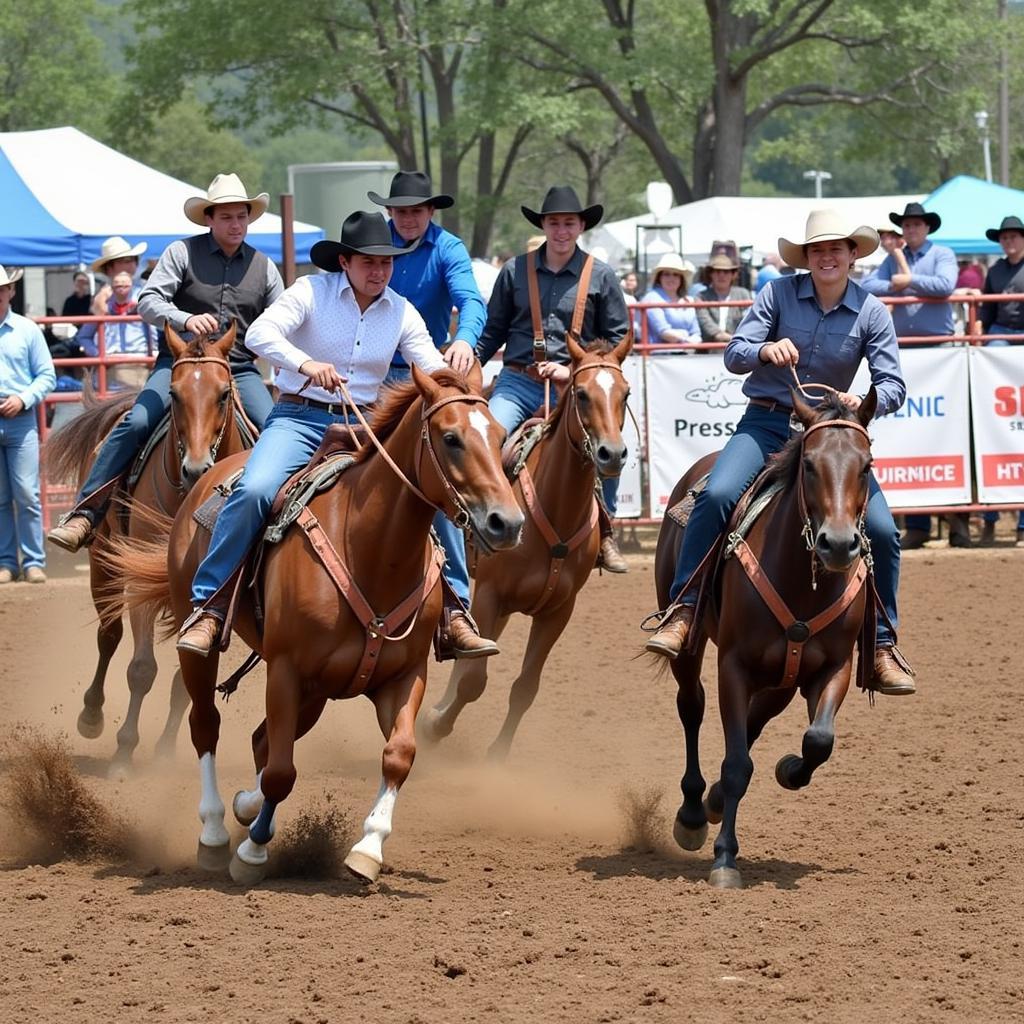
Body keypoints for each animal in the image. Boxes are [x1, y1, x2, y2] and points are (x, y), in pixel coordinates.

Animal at [45, 323, 249, 770]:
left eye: (223, 393)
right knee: (109, 635)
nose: (196, 468)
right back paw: (91, 715)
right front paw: (125, 749)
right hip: (103, 562)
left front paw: (166, 750)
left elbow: (184, 679)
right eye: (174, 394)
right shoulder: (139, 584)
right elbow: (141, 668)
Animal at [109, 366, 524, 880]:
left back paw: (245, 809)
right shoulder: (286, 670)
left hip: (319, 692)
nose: (508, 523)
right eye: (451, 438)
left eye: (501, 436)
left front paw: (367, 849)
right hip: (207, 651)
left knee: (261, 741)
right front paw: (252, 853)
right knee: (207, 725)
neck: (369, 550)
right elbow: (281, 772)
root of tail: (208, 478)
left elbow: (398, 755)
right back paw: (216, 832)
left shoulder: (403, 677)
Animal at [421, 335, 630, 761]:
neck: (555, 513)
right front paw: (435, 726)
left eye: (626, 393)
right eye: (582, 394)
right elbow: (473, 679)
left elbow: (525, 687)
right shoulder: (488, 594)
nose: (613, 454)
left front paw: (498, 755)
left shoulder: (558, 611)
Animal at [651, 387, 876, 884]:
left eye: (866, 465)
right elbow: (737, 763)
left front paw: (789, 769)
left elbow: (818, 741)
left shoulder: (834, 667)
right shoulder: (733, 664)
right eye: (809, 464)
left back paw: (714, 800)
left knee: (755, 721)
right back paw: (693, 812)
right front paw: (724, 859)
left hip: (782, 679)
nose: (837, 544)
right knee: (691, 706)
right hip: (690, 647)